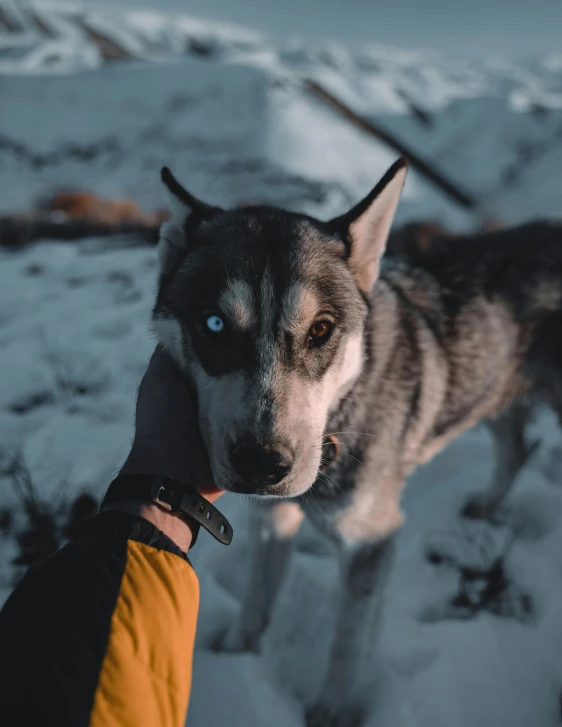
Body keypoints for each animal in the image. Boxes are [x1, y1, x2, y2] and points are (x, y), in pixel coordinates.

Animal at [151, 162, 556, 724]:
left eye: (321, 330)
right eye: (214, 323)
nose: (263, 464)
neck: (339, 417)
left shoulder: (372, 539)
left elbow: (346, 642)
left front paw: (331, 709)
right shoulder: (274, 519)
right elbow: (257, 600)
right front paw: (234, 657)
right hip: (492, 394)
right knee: (516, 447)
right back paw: (484, 506)